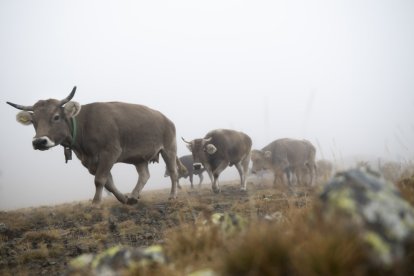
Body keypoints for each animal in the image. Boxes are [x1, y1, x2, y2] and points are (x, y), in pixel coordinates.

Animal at [6, 86, 184, 205]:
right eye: (33, 121)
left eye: (56, 117)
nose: (39, 141)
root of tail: (166, 118)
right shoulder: (90, 161)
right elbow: (108, 183)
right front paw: (123, 198)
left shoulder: (110, 152)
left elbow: (99, 180)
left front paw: (96, 203)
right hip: (139, 157)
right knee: (144, 175)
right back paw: (133, 196)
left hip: (169, 148)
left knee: (173, 173)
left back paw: (172, 195)